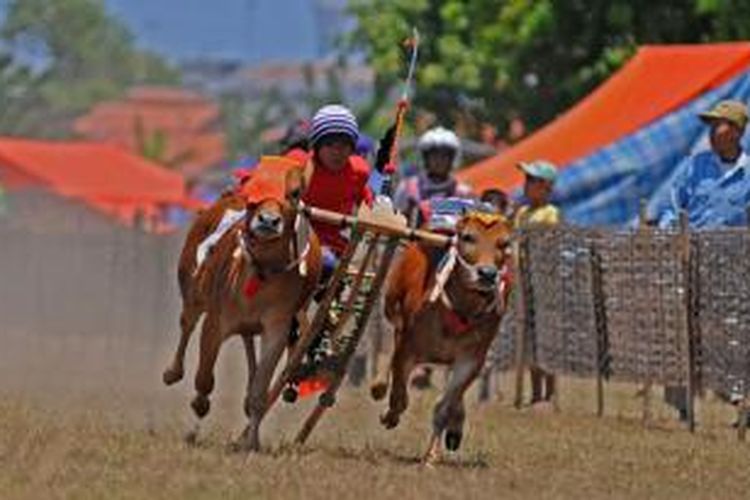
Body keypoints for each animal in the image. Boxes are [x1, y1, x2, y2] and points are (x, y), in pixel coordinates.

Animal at [374, 211, 516, 464]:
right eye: (468, 237)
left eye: (504, 243)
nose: (487, 274)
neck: (462, 309)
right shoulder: (407, 348)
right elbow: (400, 394)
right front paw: (389, 415)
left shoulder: (471, 360)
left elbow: (444, 406)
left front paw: (432, 455)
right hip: (393, 312)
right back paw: (380, 387)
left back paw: (455, 428)